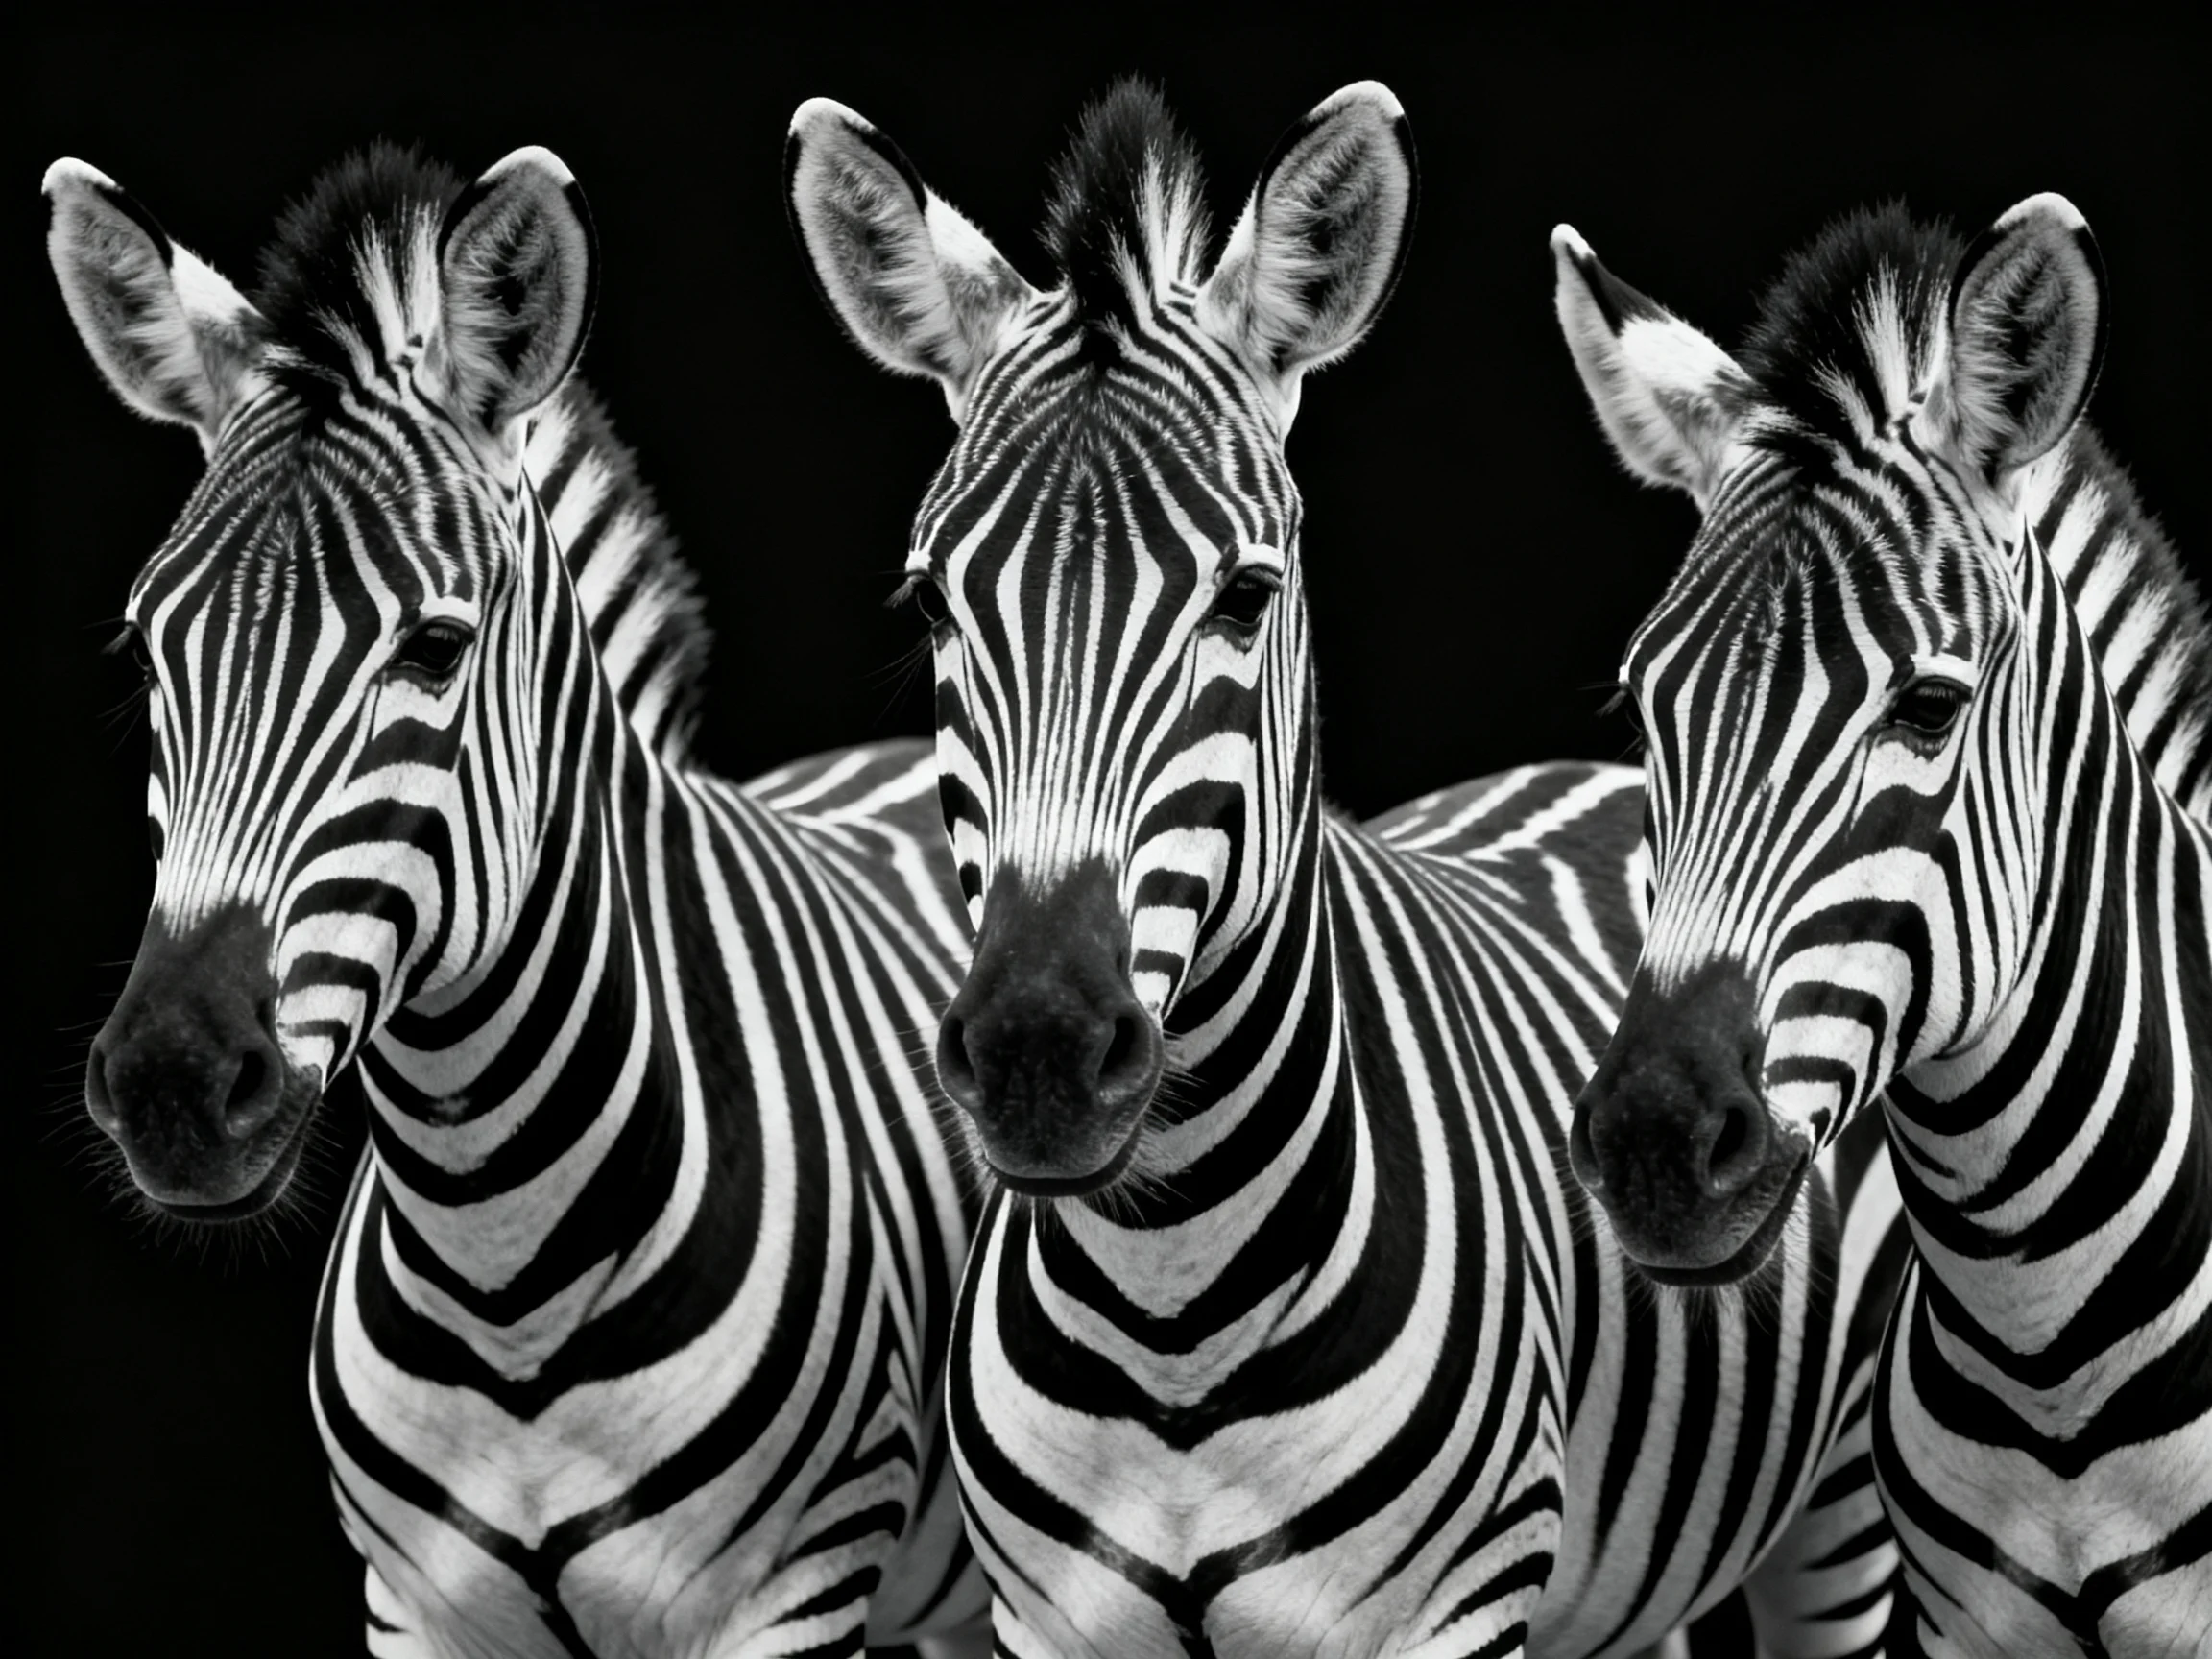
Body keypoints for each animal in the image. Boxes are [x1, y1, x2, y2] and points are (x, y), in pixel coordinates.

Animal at [52, 143, 989, 1657]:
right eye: (148, 654)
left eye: (435, 648)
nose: (175, 1087)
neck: (501, 1259)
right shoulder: (413, 1610)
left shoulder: (792, 1596)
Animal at [788, 78, 1908, 1658]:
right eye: (935, 601)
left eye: (1247, 595)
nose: (1037, 1060)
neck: (1170, 1306)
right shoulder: (1044, 1621)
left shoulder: (1452, 1612)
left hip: (1844, 1501)